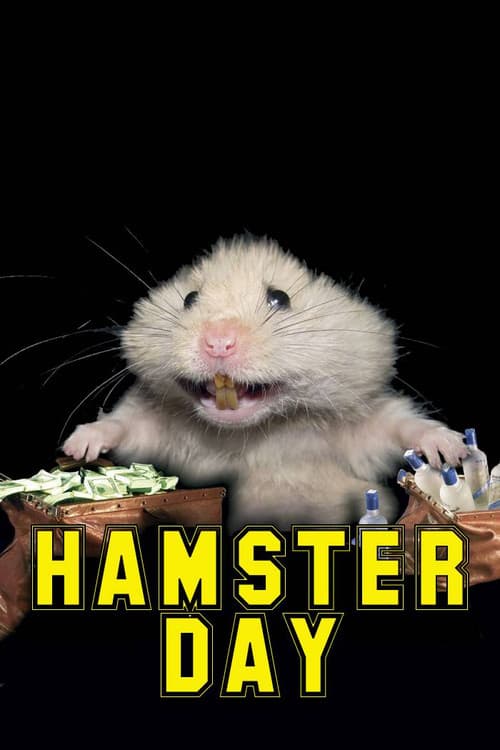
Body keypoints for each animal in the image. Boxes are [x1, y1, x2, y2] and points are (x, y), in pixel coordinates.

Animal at [63, 236, 467, 529]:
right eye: (189, 298)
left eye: (279, 298)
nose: (218, 343)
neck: (253, 433)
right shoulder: (159, 429)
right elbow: (126, 424)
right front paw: (77, 447)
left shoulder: (357, 431)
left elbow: (398, 425)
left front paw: (454, 450)